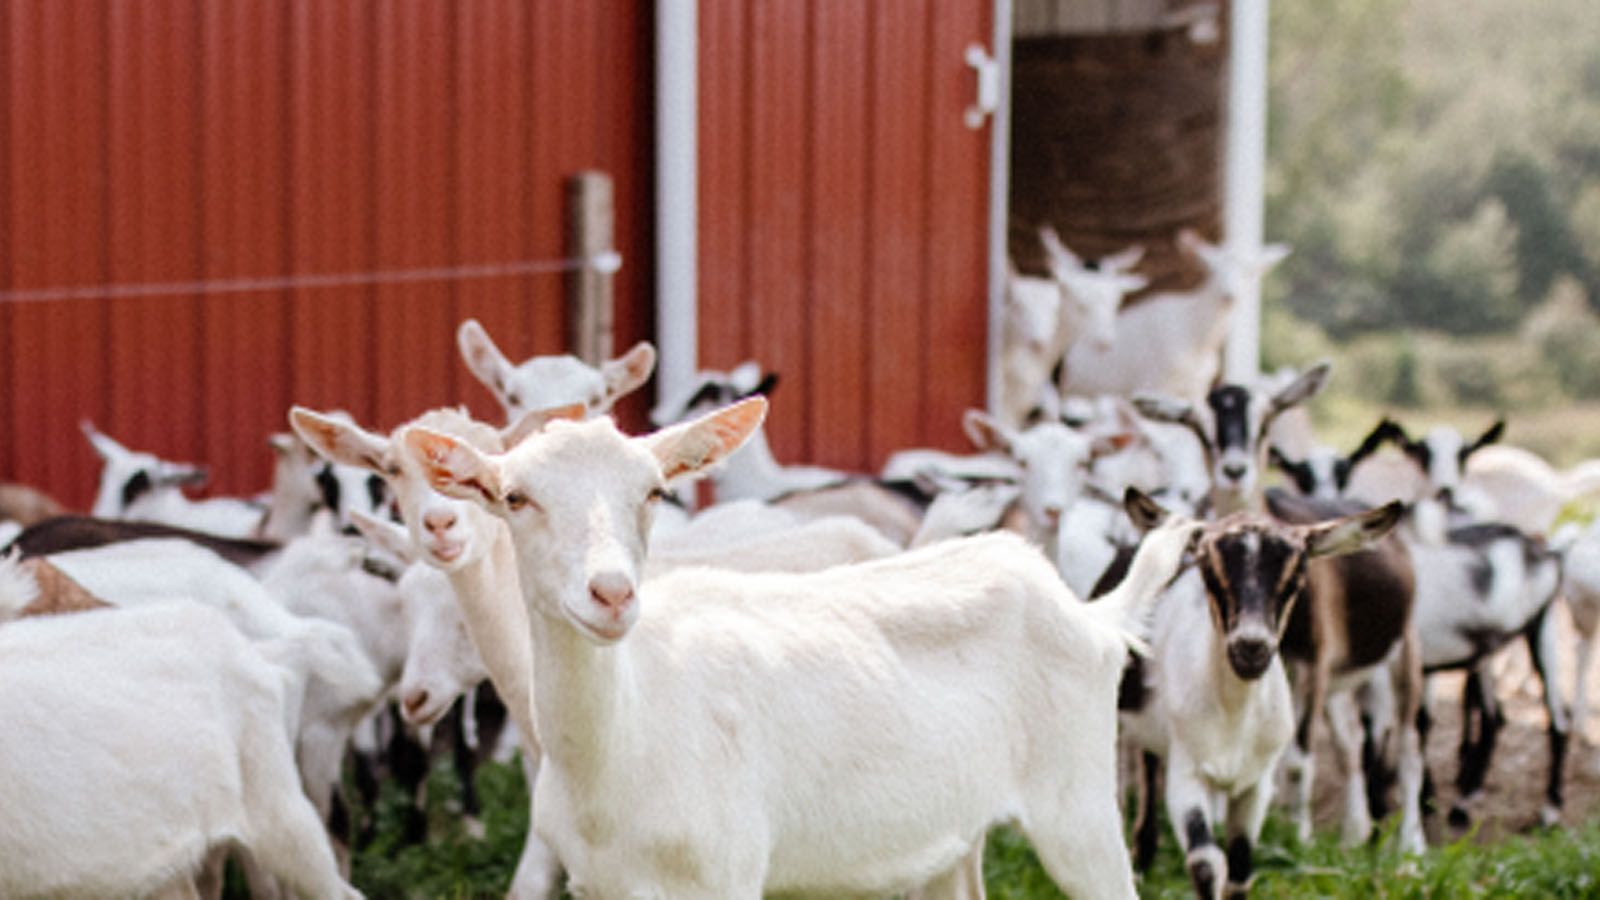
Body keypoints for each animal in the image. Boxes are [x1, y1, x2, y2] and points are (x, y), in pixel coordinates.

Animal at [400, 396, 1201, 899]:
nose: (612, 593)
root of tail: (1089, 613)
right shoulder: (596, 884)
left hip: (1079, 804)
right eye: (515, 498)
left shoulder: (723, 875)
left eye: (654, 491)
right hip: (951, 831)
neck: (625, 737)